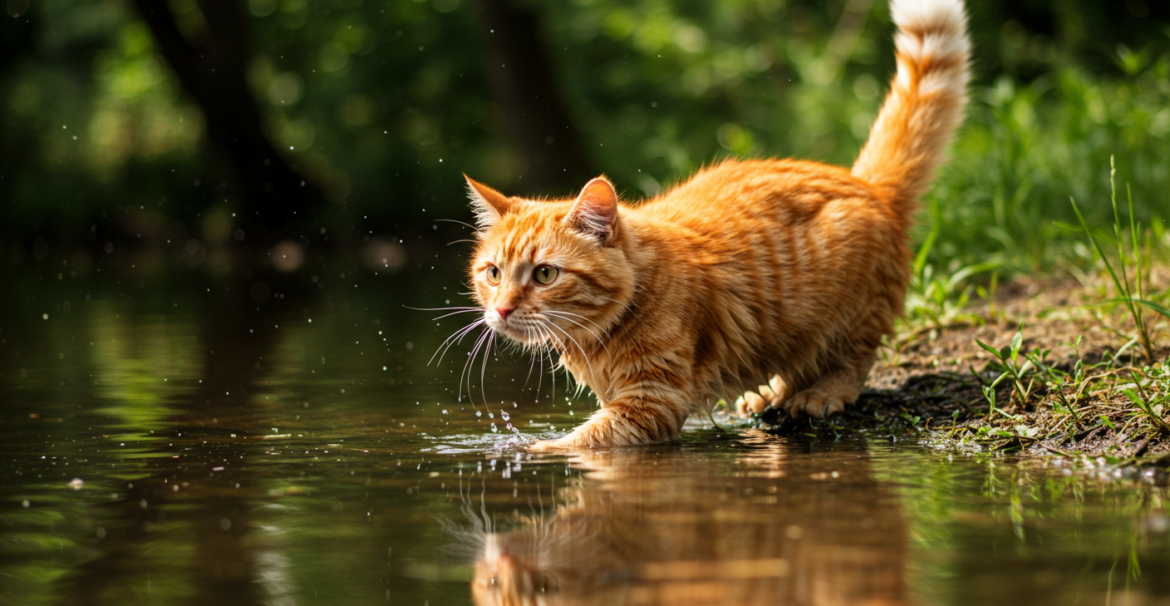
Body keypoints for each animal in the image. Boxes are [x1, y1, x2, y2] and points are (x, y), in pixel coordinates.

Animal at [460, 0, 964, 451]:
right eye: (493, 274)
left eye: (545, 274)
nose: (501, 309)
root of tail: (864, 183)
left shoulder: (653, 400)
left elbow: (577, 441)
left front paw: (528, 451)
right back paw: (768, 393)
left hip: (848, 312)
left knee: (850, 360)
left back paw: (819, 394)